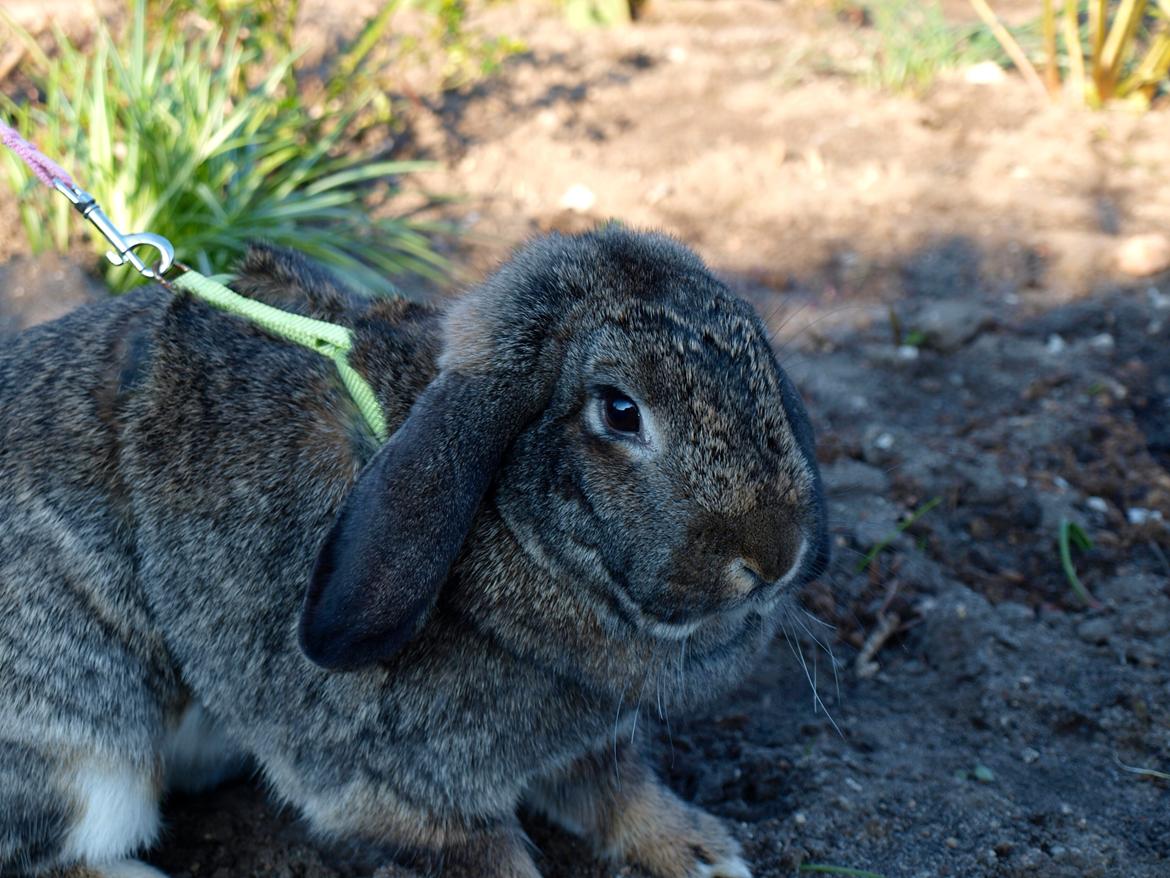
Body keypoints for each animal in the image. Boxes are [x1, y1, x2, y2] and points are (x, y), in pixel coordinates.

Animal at [0, 228, 828, 878]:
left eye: (763, 367)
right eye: (621, 411)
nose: (776, 556)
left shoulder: (590, 748)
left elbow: (621, 793)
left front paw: (706, 855)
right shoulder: (406, 797)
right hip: (87, 757)